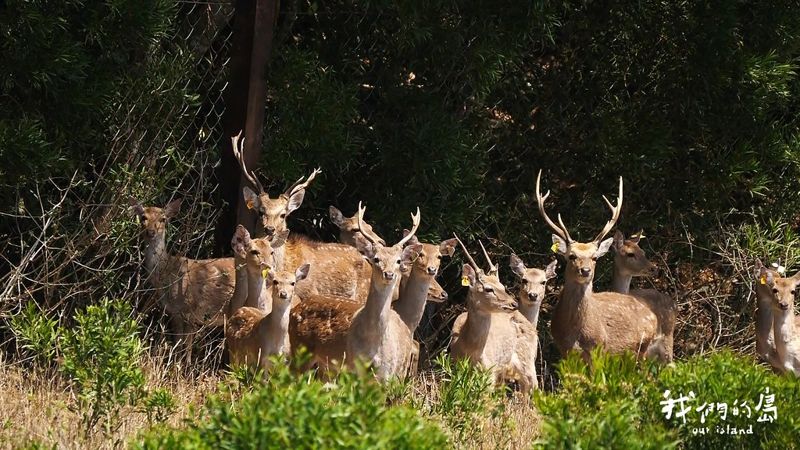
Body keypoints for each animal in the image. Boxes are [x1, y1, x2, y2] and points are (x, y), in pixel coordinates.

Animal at [130, 198, 235, 360]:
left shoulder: (191, 310)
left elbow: (187, 347)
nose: (151, 232)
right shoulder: (175, 313)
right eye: (143, 217)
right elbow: (177, 344)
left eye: (163, 219)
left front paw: (185, 366)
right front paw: (175, 364)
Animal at [449, 237, 539, 393]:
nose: (513, 304)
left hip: (527, 360)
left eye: (502, 286)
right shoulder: (454, 368)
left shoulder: (489, 373)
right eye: (488, 289)